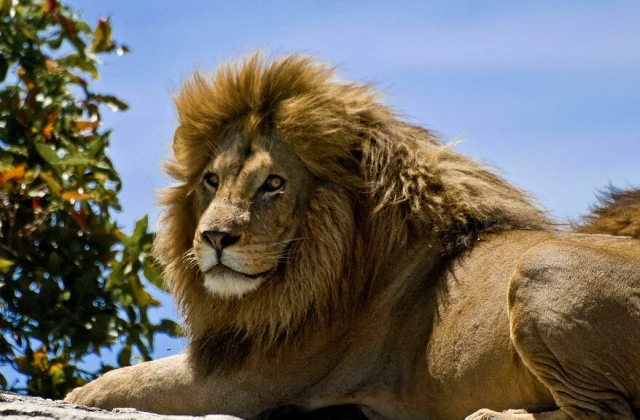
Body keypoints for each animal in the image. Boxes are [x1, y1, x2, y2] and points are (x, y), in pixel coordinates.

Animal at [65, 53, 640, 420]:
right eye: (211, 179)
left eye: (273, 183)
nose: (214, 237)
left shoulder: (245, 384)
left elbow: (127, 381)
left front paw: (77, 393)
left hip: (540, 269)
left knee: (606, 415)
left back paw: (490, 417)